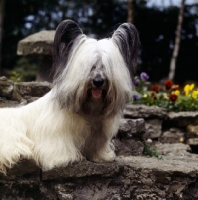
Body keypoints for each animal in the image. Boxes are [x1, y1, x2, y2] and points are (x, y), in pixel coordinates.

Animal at [0, 19, 139, 174]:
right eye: (90, 66)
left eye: (106, 66)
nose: (98, 81)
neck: (89, 110)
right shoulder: (54, 133)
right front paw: (65, 158)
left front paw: (101, 156)